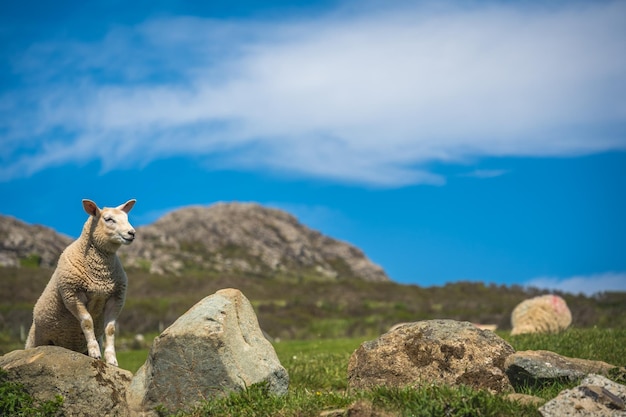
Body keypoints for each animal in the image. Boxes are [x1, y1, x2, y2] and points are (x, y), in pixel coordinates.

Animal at [25, 198, 136, 364]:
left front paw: (111, 360)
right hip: (35, 341)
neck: (100, 275)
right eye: (108, 219)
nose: (132, 233)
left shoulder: (115, 298)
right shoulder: (72, 294)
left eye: (126, 218)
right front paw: (95, 353)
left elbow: (110, 329)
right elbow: (87, 322)